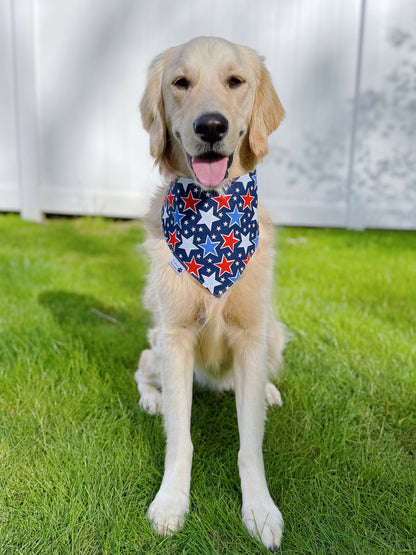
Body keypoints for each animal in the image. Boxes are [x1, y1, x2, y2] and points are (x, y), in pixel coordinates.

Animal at [136, 37, 286, 548]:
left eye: (235, 81)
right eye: (181, 83)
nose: (211, 126)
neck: (211, 214)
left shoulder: (252, 334)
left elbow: (251, 444)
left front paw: (260, 510)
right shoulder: (176, 335)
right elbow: (180, 439)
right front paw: (171, 503)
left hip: (275, 332)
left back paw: (269, 391)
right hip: (157, 344)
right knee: (142, 369)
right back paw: (151, 398)